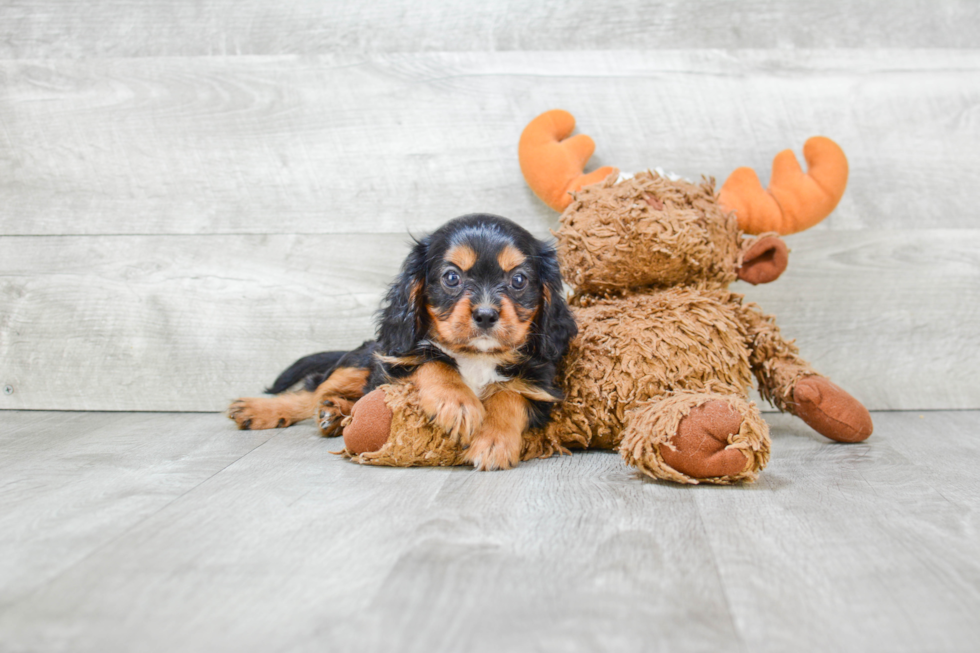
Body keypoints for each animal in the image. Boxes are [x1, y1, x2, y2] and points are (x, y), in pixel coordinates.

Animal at [228, 214, 580, 468]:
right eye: (451, 277)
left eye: (518, 280)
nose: (485, 315)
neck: (476, 357)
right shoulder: (397, 360)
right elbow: (433, 360)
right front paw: (457, 402)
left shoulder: (541, 388)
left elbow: (510, 395)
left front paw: (493, 441)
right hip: (361, 361)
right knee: (312, 392)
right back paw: (262, 409)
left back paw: (336, 414)